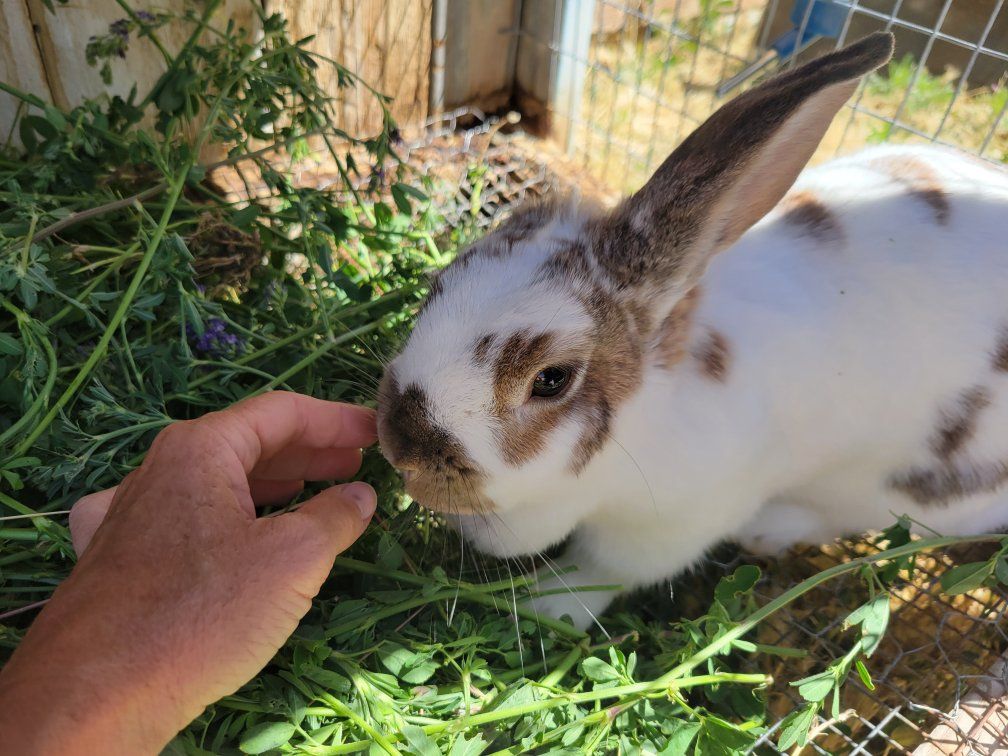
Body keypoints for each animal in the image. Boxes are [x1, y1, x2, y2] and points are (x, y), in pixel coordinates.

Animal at [376, 31, 1008, 631]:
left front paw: (547, 604)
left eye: (551, 379)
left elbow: (601, 571)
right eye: (439, 285)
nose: (401, 446)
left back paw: (771, 529)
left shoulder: (671, 525)